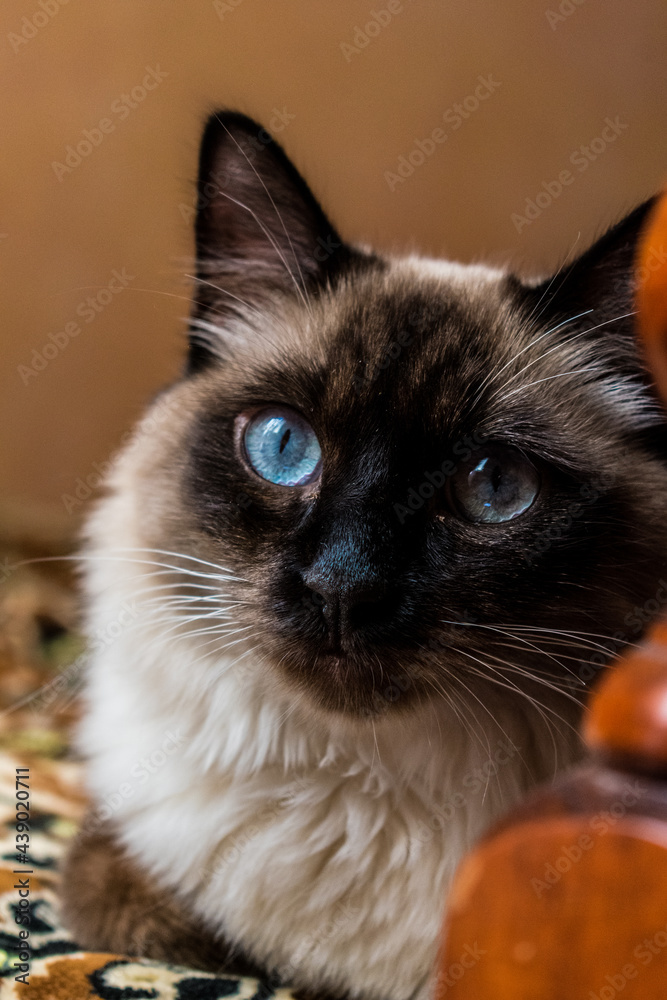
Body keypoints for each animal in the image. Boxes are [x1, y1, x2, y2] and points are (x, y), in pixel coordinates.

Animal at [60, 109, 667, 1000]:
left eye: (492, 486)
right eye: (284, 447)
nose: (341, 586)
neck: (367, 782)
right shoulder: (126, 864)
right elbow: (159, 921)